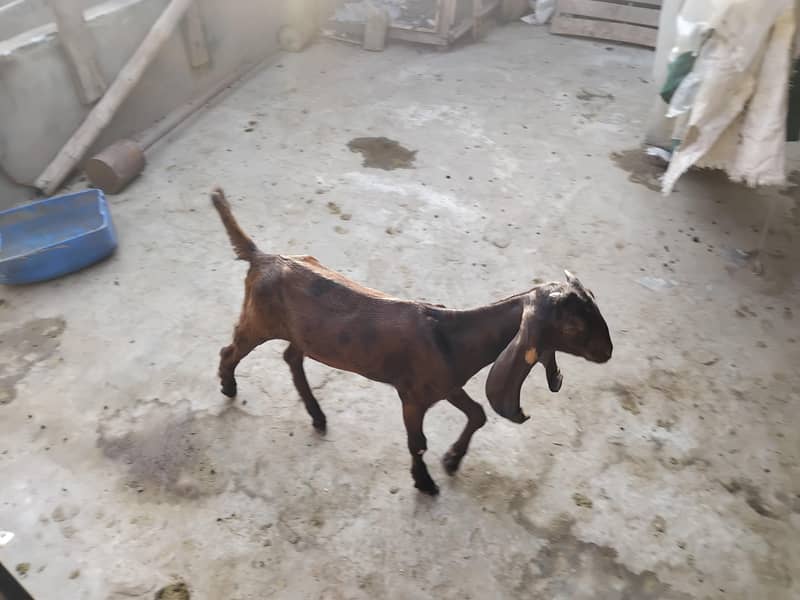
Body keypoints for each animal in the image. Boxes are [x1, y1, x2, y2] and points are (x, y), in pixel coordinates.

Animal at [211, 187, 613, 495]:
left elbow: (478, 413)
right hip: (258, 321)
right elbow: (417, 443)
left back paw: (317, 414)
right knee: (231, 349)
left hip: (304, 335)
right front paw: (425, 482)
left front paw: (451, 461)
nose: (607, 352)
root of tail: (261, 256)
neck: (452, 336)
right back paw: (229, 386)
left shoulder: (447, 383)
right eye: (573, 325)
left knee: (292, 358)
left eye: (594, 302)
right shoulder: (413, 396)